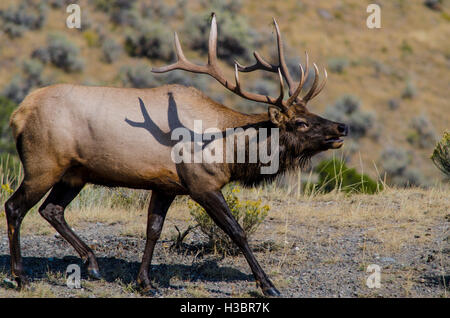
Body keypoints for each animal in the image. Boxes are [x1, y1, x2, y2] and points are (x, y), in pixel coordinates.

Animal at [4, 13, 348, 296]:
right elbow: (237, 232)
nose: (342, 126)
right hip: (43, 164)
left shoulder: (165, 185)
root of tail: (17, 114)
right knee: (15, 207)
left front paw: (145, 283)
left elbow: (153, 231)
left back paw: (92, 264)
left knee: (51, 210)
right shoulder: (202, 184)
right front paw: (268, 285)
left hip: (75, 174)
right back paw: (20, 277)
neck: (230, 152)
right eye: (300, 122)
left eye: (312, 112)